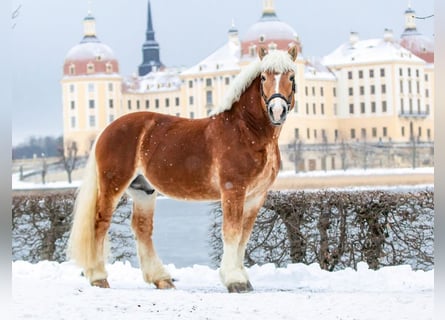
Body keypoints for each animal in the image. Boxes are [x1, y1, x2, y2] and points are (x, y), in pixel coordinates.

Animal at [67, 46, 296, 294]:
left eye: (291, 77)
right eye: (264, 77)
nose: (277, 110)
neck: (246, 130)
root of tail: (106, 130)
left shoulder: (256, 195)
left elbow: (244, 235)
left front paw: (242, 278)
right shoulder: (233, 189)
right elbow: (232, 232)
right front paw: (234, 280)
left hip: (143, 190)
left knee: (142, 228)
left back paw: (161, 278)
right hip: (113, 185)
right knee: (100, 223)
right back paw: (98, 277)